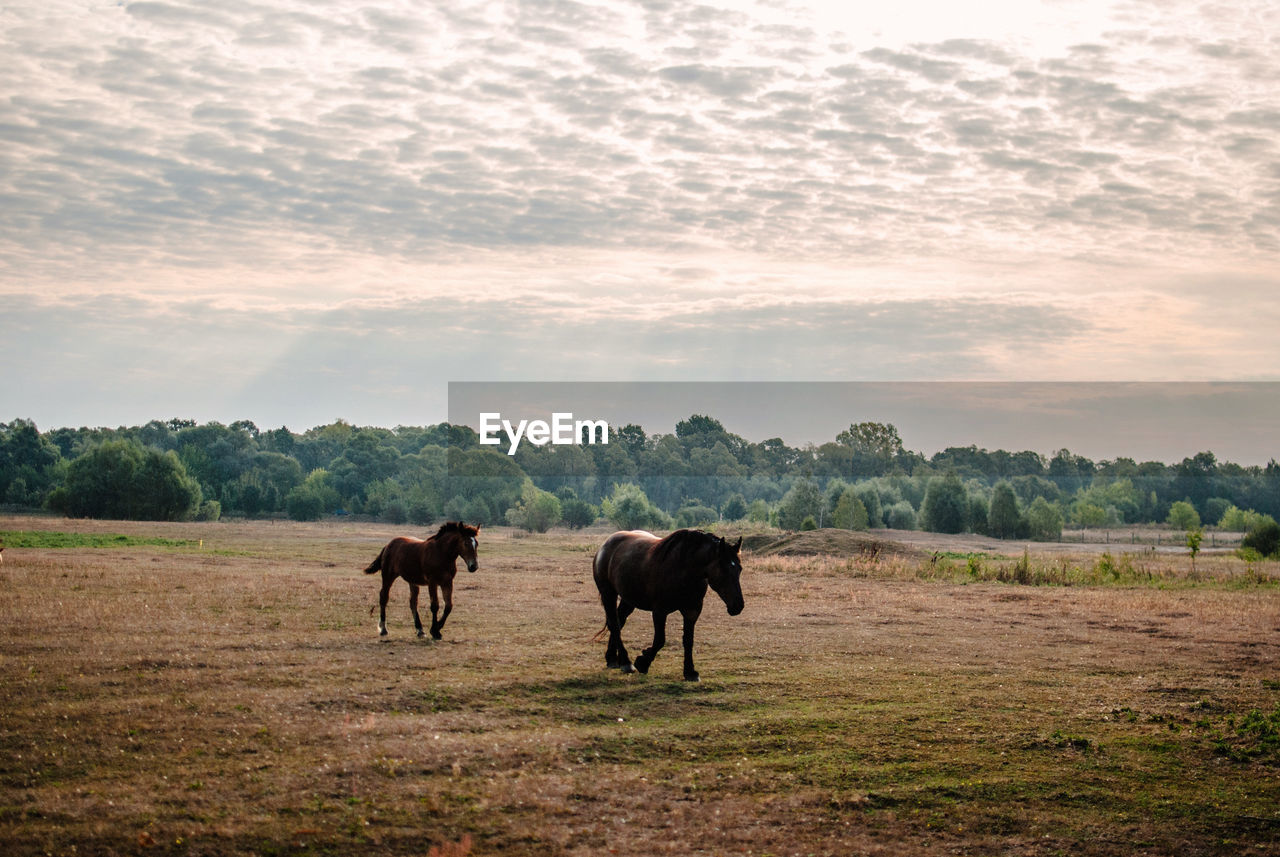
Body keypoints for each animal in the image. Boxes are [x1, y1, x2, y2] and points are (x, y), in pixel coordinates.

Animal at [588, 526, 742, 680]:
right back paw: (626, 662)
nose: (738, 606)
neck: (683, 569)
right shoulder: (659, 611)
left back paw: (612, 659)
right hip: (608, 593)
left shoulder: (692, 611)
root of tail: (606, 544)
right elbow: (660, 640)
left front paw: (690, 671)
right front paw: (643, 662)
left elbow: (688, 640)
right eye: (724, 569)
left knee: (619, 622)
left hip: (628, 599)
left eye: (739, 569)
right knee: (614, 624)